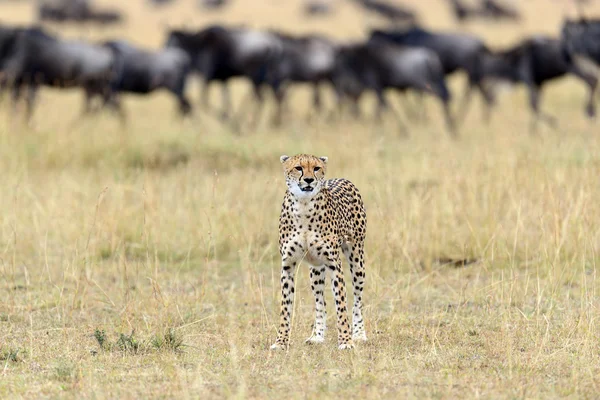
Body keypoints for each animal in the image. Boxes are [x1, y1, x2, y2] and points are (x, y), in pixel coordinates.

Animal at [270, 153, 366, 350]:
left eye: (316, 168)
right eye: (298, 168)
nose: (309, 180)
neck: (303, 205)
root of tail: (342, 179)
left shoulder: (334, 264)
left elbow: (342, 305)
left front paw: (346, 341)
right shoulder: (288, 266)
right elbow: (285, 308)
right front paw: (281, 342)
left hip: (357, 260)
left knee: (357, 299)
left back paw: (359, 333)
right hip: (316, 270)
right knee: (320, 302)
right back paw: (317, 335)